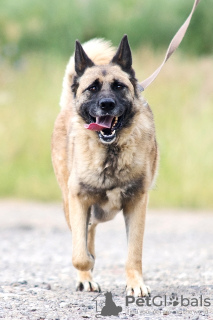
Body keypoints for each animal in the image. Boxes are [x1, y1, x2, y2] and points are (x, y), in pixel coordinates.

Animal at [51, 35, 158, 298]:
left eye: (119, 86)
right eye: (92, 88)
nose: (107, 104)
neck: (110, 152)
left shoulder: (137, 204)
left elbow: (134, 253)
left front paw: (135, 284)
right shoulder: (79, 200)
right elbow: (80, 254)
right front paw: (87, 266)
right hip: (72, 205)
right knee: (85, 237)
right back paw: (86, 279)